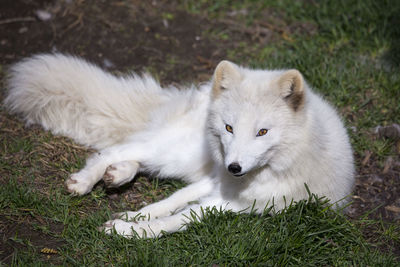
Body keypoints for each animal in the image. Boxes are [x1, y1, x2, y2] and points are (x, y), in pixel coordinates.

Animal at [3, 54, 354, 239]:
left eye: (262, 132)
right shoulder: (218, 181)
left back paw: (117, 174)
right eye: (229, 128)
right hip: (182, 155)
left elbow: (176, 214)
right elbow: (170, 204)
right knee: (121, 148)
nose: (235, 167)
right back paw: (87, 180)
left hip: (190, 164)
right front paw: (132, 219)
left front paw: (130, 225)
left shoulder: (234, 202)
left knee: (133, 152)